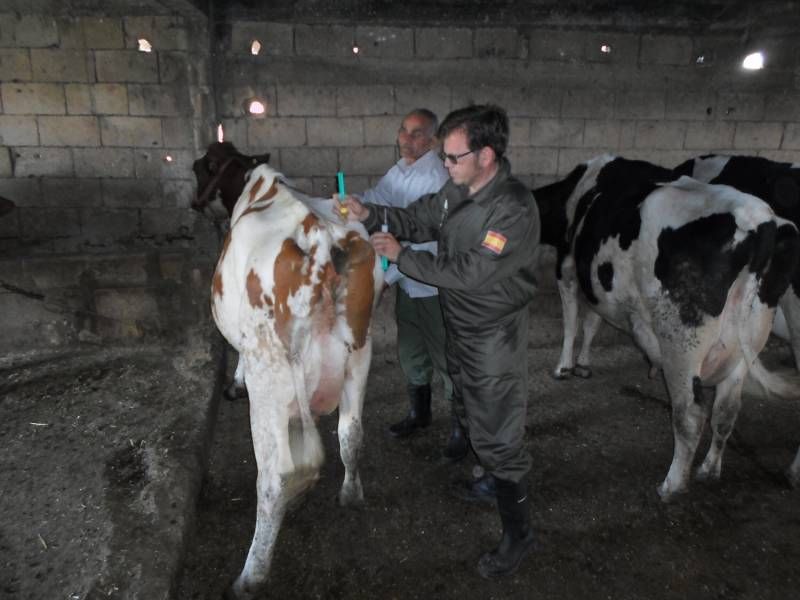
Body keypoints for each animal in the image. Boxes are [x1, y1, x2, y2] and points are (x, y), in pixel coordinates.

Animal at [209, 162, 384, 596]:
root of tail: (320, 237)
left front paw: (233, 383)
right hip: (360, 354)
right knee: (350, 432)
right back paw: (350, 494)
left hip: (268, 376)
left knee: (275, 477)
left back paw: (250, 576)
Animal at [532, 155, 800, 496]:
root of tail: (761, 223)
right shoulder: (597, 282)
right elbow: (593, 321)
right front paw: (583, 364)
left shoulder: (567, 265)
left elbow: (572, 321)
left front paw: (564, 366)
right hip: (746, 340)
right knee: (726, 410)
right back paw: (710, 470)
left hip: (682, 341)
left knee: (690, 414)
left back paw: (671, 486)